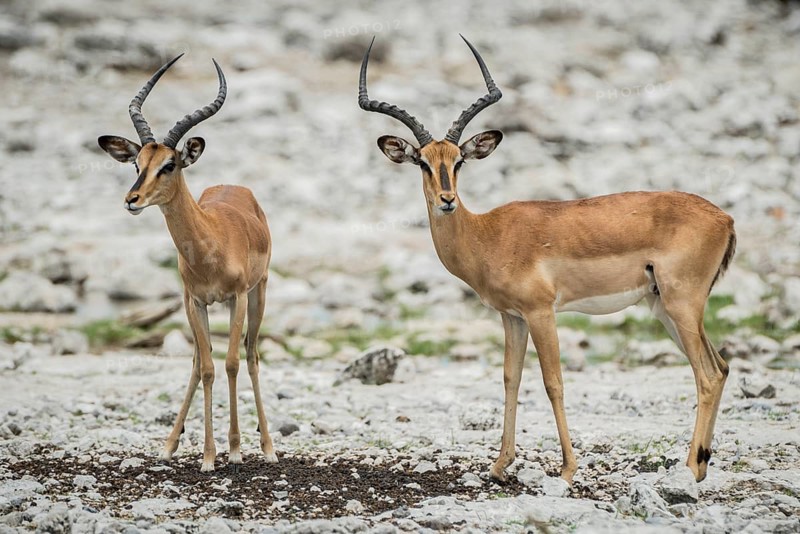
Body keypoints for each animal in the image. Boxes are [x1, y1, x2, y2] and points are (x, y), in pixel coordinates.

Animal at [98, 55, 277, 472]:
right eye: (137, 164)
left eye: (170, 164)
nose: (131, 199)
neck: (211, 244)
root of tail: (236, 188)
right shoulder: (194, 301)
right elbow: (207, 367)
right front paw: (208, 456)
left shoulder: (236, 298)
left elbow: (231, 364)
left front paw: (234, 449)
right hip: (195, 308)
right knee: (198, 361)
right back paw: (169, 444)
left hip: (258, 294)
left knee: (252, 356)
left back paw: (267, 447)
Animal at [359, 36, 736, 484]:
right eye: (422, 162)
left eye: (459, 161)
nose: (447, 200)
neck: (487, 235)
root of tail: (725, 218)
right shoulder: (512, 316)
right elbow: (510, 377)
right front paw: (500, 464)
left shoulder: (541, 312)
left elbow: (553, 381)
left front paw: (568, 470)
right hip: (665, 307)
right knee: (721, 367)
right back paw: (702, 464)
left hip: (682, 304)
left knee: (707, 374)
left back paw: (691, 469)